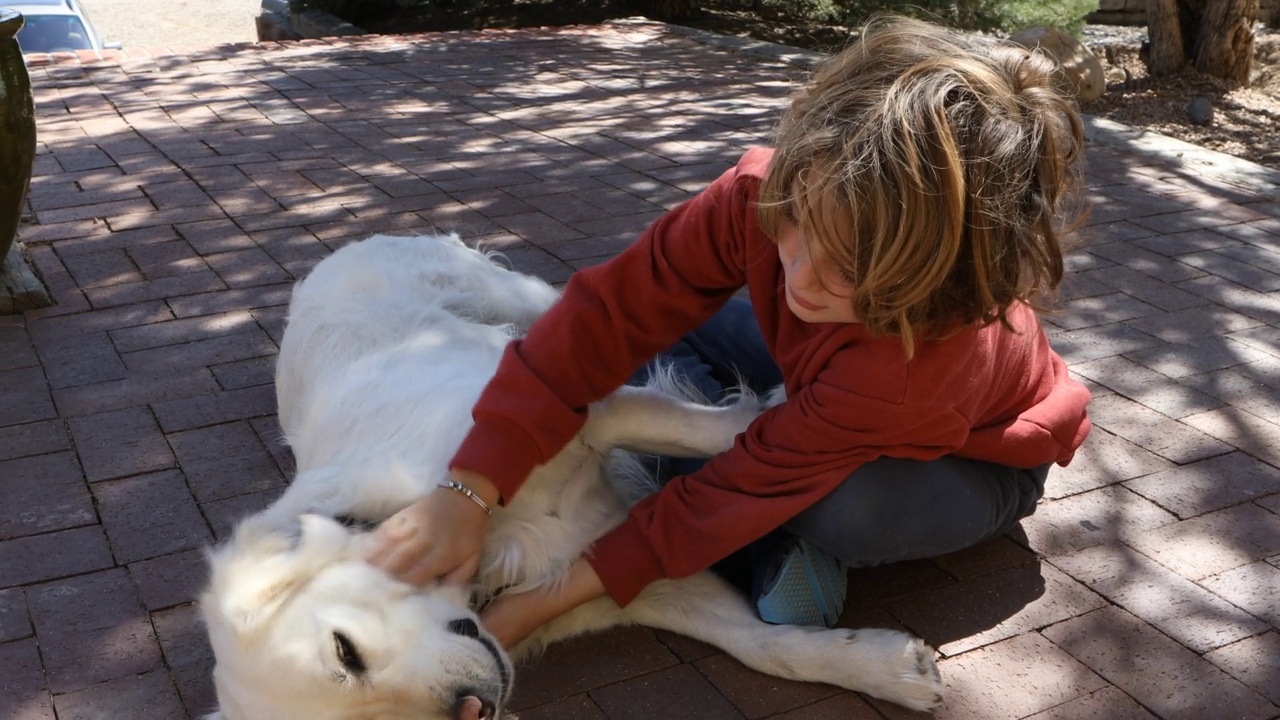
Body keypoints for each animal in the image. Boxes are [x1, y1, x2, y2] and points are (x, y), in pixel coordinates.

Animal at [197, 233, 942, 712]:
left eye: (345, 652)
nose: (472, 706)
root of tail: (336, 251)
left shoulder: (571, 418)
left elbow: (710, 431)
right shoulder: (621, 576)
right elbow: (763, 646)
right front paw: (891, 669)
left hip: (526, 303)